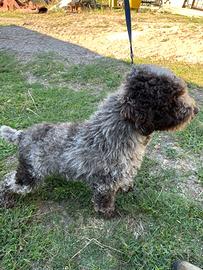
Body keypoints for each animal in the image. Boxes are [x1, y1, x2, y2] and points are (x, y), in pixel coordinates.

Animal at [0, 65, 198, 217]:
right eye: (173, 98)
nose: (195, 110)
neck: (113, 133)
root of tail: (22, 134)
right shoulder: (106, 182)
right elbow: (104, 201)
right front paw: (108, 213)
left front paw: (125, 188)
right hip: (29, 175)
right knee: (7, 182)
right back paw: (6, 201)